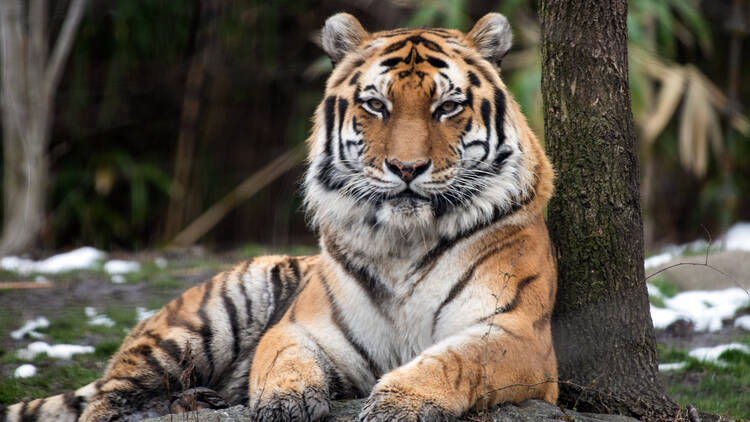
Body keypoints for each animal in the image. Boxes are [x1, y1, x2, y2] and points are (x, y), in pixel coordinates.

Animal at [2, 13, 560, 422]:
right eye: (376, 105)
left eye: (447, 107)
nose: (406, 168)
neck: (405, 241)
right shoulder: (301, 325)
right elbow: (283, 359)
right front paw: (285, 401)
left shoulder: (518, 332)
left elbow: (455, 360)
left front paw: (401, 403)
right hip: (206, 316)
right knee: (105, 399)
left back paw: (202, 400)